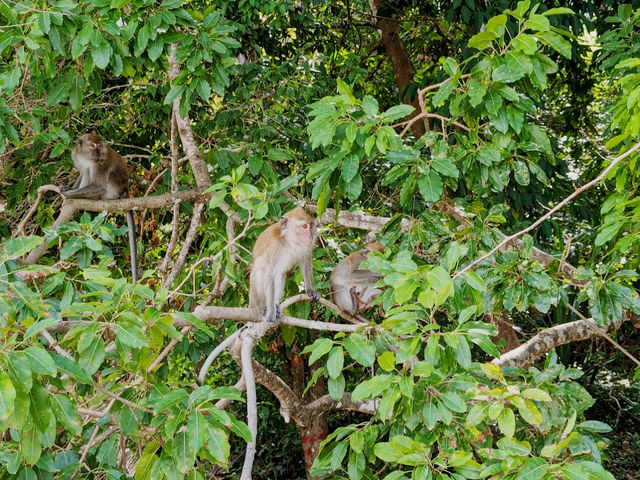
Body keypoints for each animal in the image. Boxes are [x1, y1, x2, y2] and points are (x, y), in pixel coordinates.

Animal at [61, 131, 139, 284]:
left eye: (99, 146)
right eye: (92, 146)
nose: (97, 152)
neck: (87, 157)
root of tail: (125, 189)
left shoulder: (100, 164)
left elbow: (98, 185)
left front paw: (70, 194)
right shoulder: (76, 155)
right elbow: (82, 172)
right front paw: (71, 188)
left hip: (112, 188)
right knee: (86, 172)